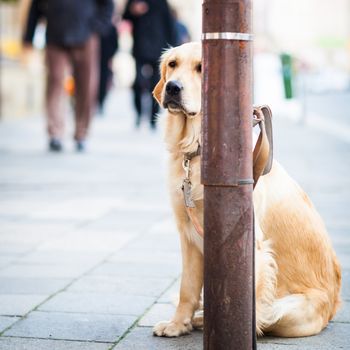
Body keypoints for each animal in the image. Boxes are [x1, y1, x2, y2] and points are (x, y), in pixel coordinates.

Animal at [152, 42, 340, 338]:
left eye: (202, 67)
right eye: (172, 64)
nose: (172, 87)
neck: (197, 149)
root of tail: (334, 306)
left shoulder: (252, 245)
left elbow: (249, 304)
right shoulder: (188, 234)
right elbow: (187, 288)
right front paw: (177, 324)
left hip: (290, 312)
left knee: (268, 315)